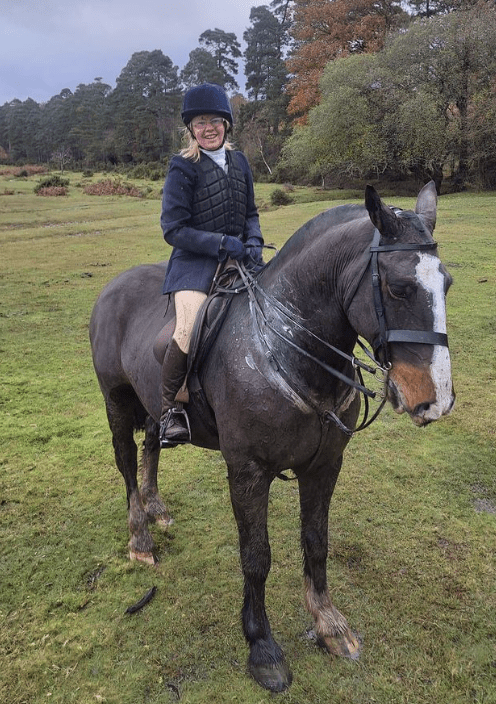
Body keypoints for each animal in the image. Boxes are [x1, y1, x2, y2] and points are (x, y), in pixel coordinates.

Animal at [89, 181, 454, 692]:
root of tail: (113, 286)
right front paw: (261, 645)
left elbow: (316, 539)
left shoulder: (324, 465)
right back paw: (140, 536)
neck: (287, 345)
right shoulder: (248, 470)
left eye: (448, 283)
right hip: (118, 402)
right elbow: (256, 556)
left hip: (152, 405)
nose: (435, 399)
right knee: (125, 460)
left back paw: (156, 507)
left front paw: (329, 623)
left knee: (150, 447)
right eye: (399, 287)